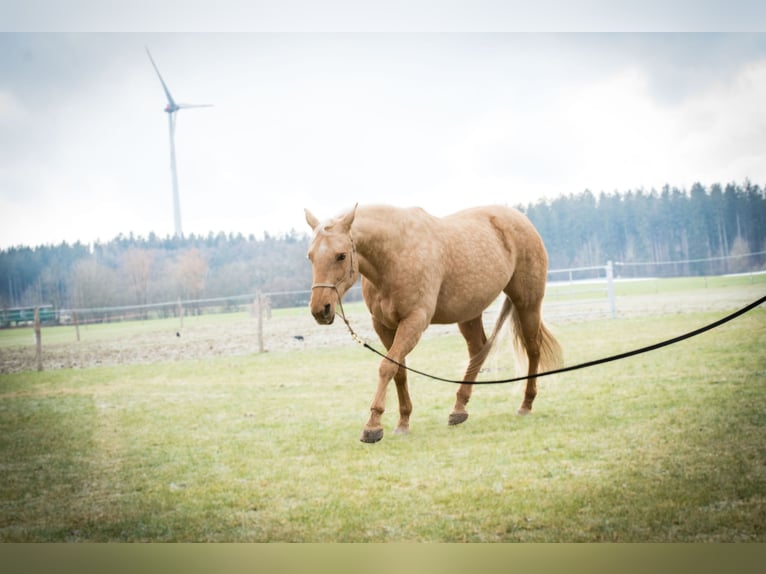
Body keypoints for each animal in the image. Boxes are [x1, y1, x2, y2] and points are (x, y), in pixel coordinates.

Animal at [306, 204, 564, 446]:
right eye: (310, 256)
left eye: (340, 255)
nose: (321, 309)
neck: (396, 254)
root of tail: (522, 220)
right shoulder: (384, 326)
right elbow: (399, 370)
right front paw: (403, 421)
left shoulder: (414, 321)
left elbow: (387, 367)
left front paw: (373, 426)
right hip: (469, 313)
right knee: (478, 350)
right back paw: (459, 408)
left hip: (528, 303)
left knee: (532, 349)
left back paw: (526, 403)